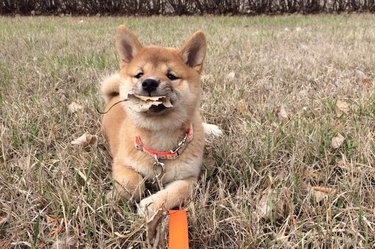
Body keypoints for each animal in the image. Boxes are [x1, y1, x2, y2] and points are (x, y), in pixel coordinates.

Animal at [103, 24, 220, 216]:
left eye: (171, 76)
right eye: (139, 74)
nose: (149, 82)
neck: (160, 140)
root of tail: (113, 96)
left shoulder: (189, 179)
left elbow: (174, 193)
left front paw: (151, 205)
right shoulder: (121, 164)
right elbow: (133, 183)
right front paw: (114, 195)